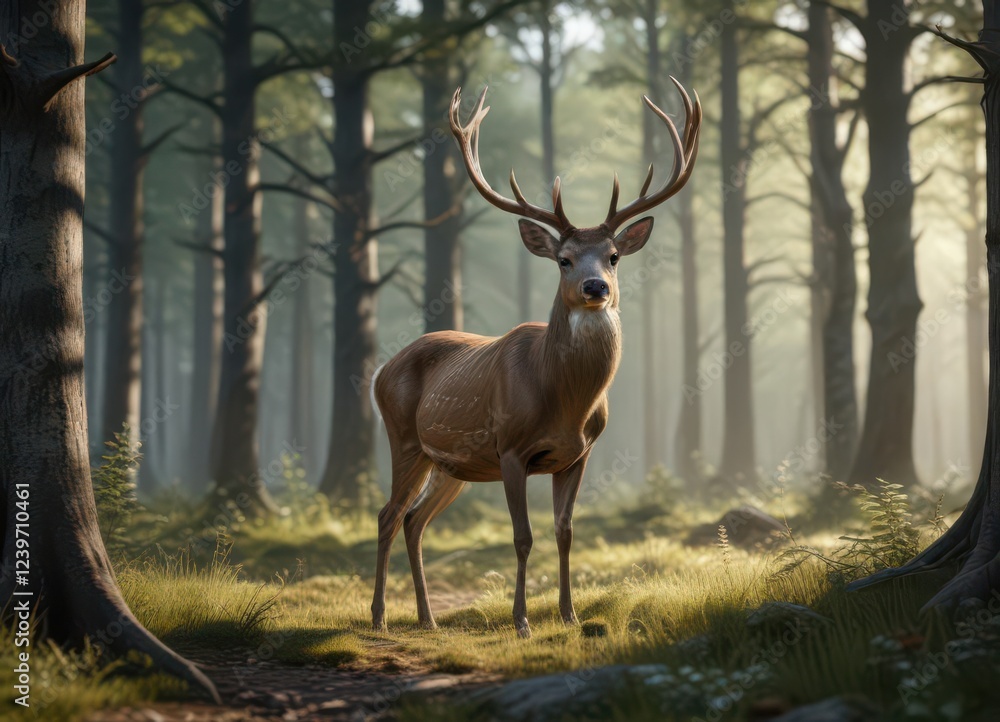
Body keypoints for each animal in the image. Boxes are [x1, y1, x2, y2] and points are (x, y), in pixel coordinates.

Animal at [370, 78, 701, 638]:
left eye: (613, 256)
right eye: (564, 260)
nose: (595, 287)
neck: (565, 402)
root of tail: (379, 370)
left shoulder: (579, 454)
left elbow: (565, 531)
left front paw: (570, 614)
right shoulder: (510, 449)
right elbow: (523, 536)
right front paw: (522, 621)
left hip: (452, 465)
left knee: (414, 519)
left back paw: (428, 620)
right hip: (404, 438)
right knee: (388, 514)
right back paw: (379, 618)